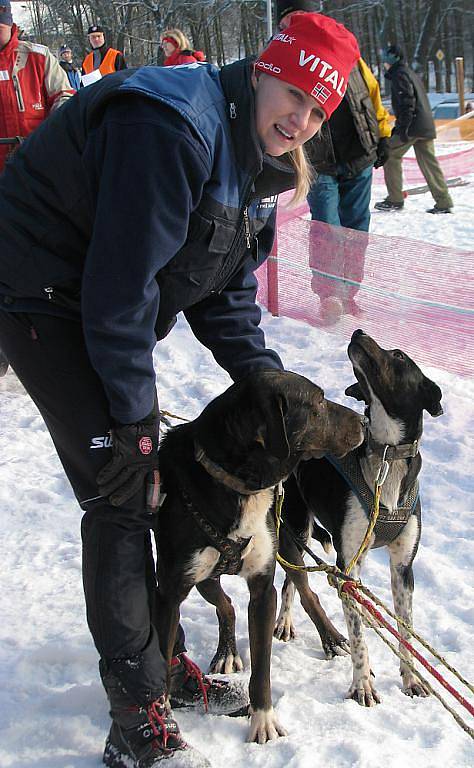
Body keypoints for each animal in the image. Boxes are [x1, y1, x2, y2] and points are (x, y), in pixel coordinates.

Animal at [156, 368, 362, 740]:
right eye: (318, 402)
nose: (365, 422)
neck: (238, 487)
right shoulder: (169, 594)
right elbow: (162, 663)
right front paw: (163, 717)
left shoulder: (263, 588)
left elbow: (262, 669)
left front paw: (263, 719)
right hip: (203, 580)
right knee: (226, 605)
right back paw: (226, 651)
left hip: (289, 548)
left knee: (308, 594)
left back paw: (332, 639)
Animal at [276, 330, 442, 708]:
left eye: (398, 355)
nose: (358, 333)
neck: (386, 458)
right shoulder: (347, 564)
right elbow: (357, 640)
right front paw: (362, 685)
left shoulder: (403, 568)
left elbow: (406, 631)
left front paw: (411, 680)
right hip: (298, 528)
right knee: (293, 580)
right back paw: (285, 622)